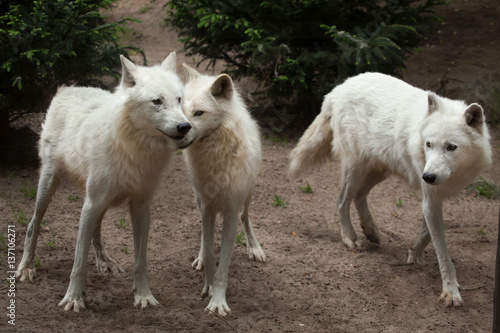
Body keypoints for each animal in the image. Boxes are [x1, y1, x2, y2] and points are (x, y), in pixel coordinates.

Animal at [15, 52, 191, 312]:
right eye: (157, 101)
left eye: (179, 100)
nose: (185, 126)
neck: (134, 148)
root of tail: (67, 88)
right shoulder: (91, 203)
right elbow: (78, 262)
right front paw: (73, 298)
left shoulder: (140, 207)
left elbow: (140, 261)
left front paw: (143, 295)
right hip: (50, 185)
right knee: (32, 224)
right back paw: (26, 267)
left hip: (101, 200)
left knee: (97, 229)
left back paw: (105, 261)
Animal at [180, 63, 266, 316]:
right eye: (180, 107)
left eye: (199, 113)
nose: (180, 129)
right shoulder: (207, 207)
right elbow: (210, 252)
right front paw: (208, 285)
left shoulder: (230, 212)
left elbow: (225, 261)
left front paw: (218, 301)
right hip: (198, 199)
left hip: (247, 197)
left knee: (246, 217)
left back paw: (255, 248)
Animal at [290, 72, 492, 306]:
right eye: (429, 144)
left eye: (451, 147)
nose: (427, 176)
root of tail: (339, 88)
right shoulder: (430, 198)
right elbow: (442, 250)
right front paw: (450, 292)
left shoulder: (433, 197)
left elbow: (427, 233)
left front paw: (414, 254)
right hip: (355, 167)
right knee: (342, 200)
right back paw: (351, 238)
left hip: (380, 171)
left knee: (359, 195)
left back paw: (371, 231)